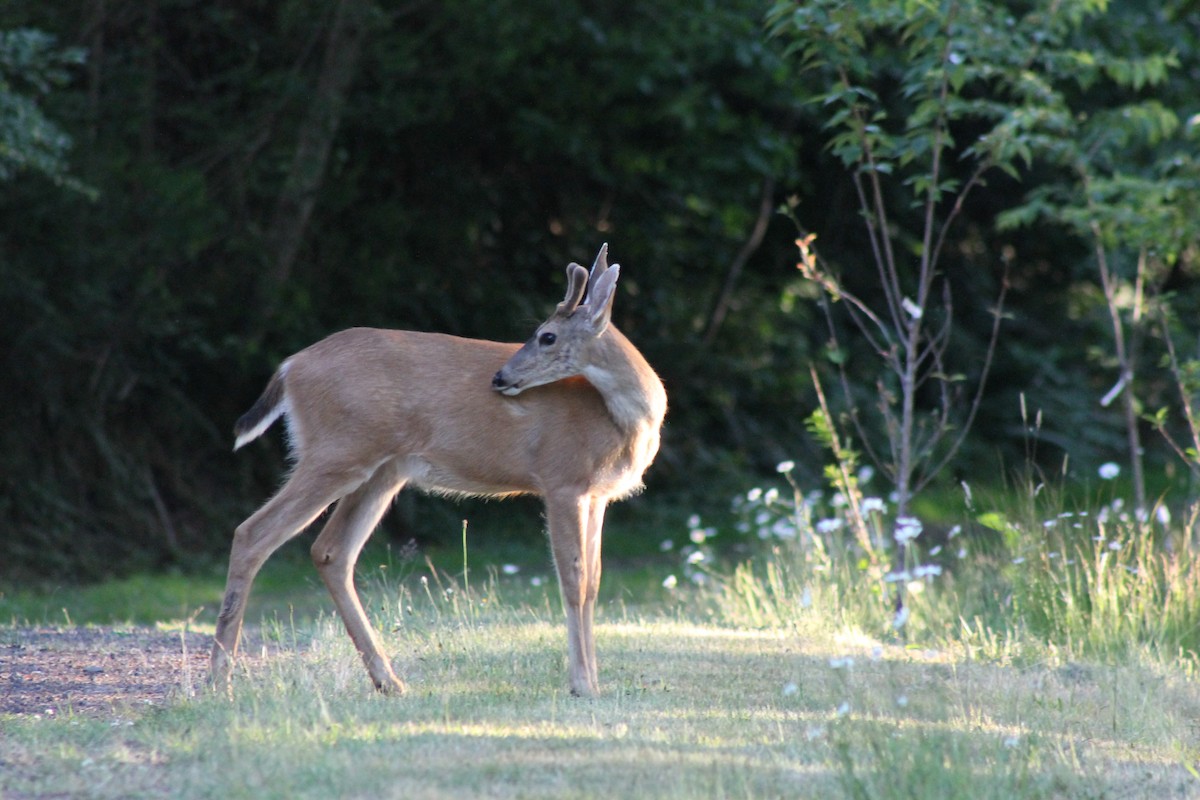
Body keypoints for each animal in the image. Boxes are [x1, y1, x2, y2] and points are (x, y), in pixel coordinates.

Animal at [209, 244, 667, 697]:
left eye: (547, 336)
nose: (499, 377)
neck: (619, 419)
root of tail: (289, 367)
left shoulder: (596, 495)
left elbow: (594, 583)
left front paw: (593, 681)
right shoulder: (562, 479)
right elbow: (574, 579)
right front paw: (582, 684)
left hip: (381, 470)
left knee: (330, 551)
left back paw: (388, 680)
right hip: (335, 452)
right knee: (253, 533)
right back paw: (220, 678)